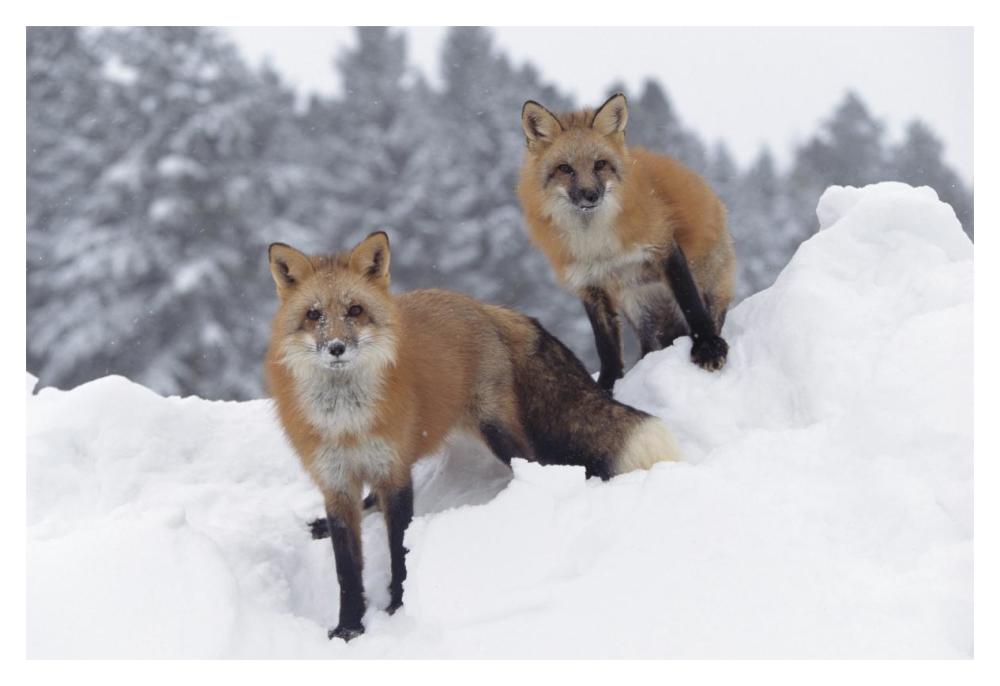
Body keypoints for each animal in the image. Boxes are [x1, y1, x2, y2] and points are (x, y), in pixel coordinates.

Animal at [265, 232, 681, 641]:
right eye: (313, 315)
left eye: (354, 311)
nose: (336, 347)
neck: (347, 423)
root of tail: (481, 306)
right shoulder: (336, 482)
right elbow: (347, 570)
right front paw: (349, 627)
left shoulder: (395, 473)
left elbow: (400, 549)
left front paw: (398, 607)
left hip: (496, 430)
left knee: (537, 465)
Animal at [517, 93, 736, 391]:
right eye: (565, 169)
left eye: (600, 164)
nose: (590, 195)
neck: (596, 243)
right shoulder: (589, 283)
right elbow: (606, 345)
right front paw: (607, 385)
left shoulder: (663, 247)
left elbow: (691, 303)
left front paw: (707, 346)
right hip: (640, 308)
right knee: (649, 346)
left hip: (706, 283)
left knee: (707, 311)